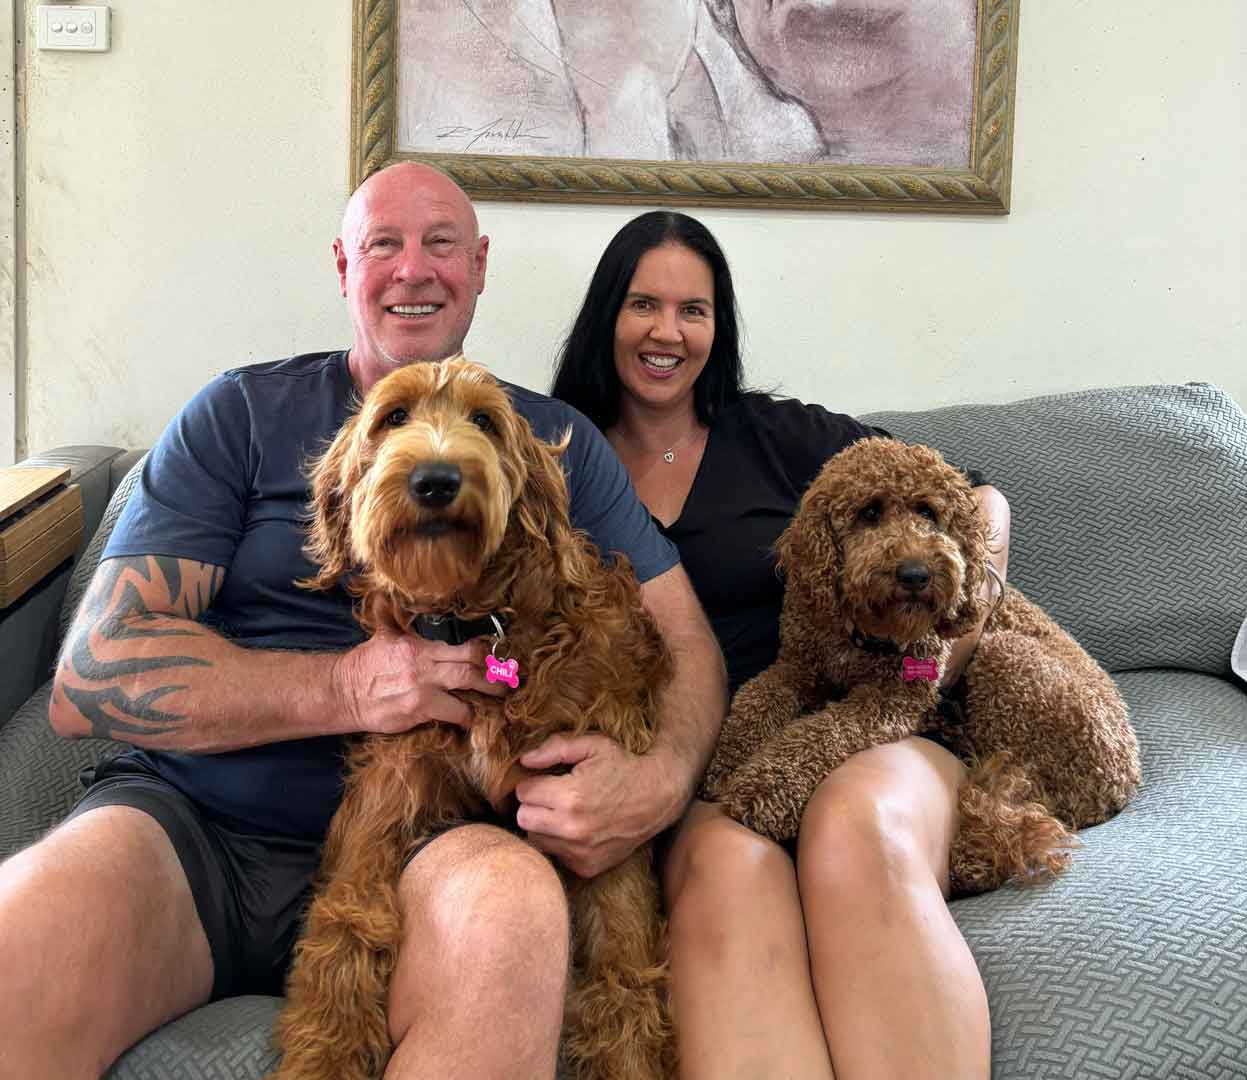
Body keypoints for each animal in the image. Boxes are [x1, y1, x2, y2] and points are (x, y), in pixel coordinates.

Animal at [273, 356, 673, 1077]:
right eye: (394, 417)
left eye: (484, 421)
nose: (435, 479)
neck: (478, 623)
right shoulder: (386, 793)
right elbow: (343, 930)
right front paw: (323, 1057)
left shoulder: (605, 817)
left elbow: (623, 982)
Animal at [703, 436, 1142, 892]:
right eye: (869, 513)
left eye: (928, 512)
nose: (916, 574)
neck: (861, 631)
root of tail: (1121, 781)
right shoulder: (797, 666)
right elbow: (755, 698)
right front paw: (729, 763)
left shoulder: (893, 697)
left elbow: (819, 733)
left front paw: (762, 789)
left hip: (1006, 659)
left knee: (1021, 791)